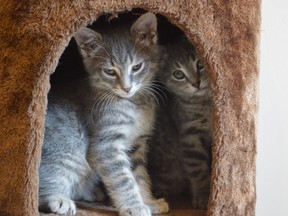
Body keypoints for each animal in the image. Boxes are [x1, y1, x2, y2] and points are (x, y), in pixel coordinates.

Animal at [38, 12, 169, 216]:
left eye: (136, 67)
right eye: (109, 71)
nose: (126, 88)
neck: (133, 104)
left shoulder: (136, 144)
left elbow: (139, 176)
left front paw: (149, 202)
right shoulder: (106, 146)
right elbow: (124, 179)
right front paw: (135, 206)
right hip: (66, 153)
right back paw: (57, 199)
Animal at [148, 36, 212, 209]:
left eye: (200, 64)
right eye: (178, 74)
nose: (196, 83)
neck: (204, 103)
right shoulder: (190, 135)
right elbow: (198, 170)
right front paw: (203, 196)